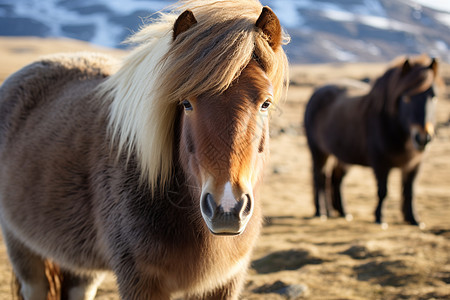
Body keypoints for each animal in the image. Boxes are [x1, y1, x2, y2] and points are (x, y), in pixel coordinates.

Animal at [0, 1, 288, 298]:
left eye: (265, 103)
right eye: (186, 103)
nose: (227, 209)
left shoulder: (224, 281)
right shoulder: (139, 279)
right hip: (21, 246)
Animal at [304, 55, 438, 226]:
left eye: (433, 96)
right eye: (407, 97)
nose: (423, 138)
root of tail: (316, 92)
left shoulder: (414, 164)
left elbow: (410, 191)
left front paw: (413, 219)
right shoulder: (380, 163)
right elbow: (383, 191)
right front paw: (380, 218)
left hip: (343, 157)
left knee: (335, 179)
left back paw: (342, 212)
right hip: (319, 152)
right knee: (319, 178)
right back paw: (320, 212)